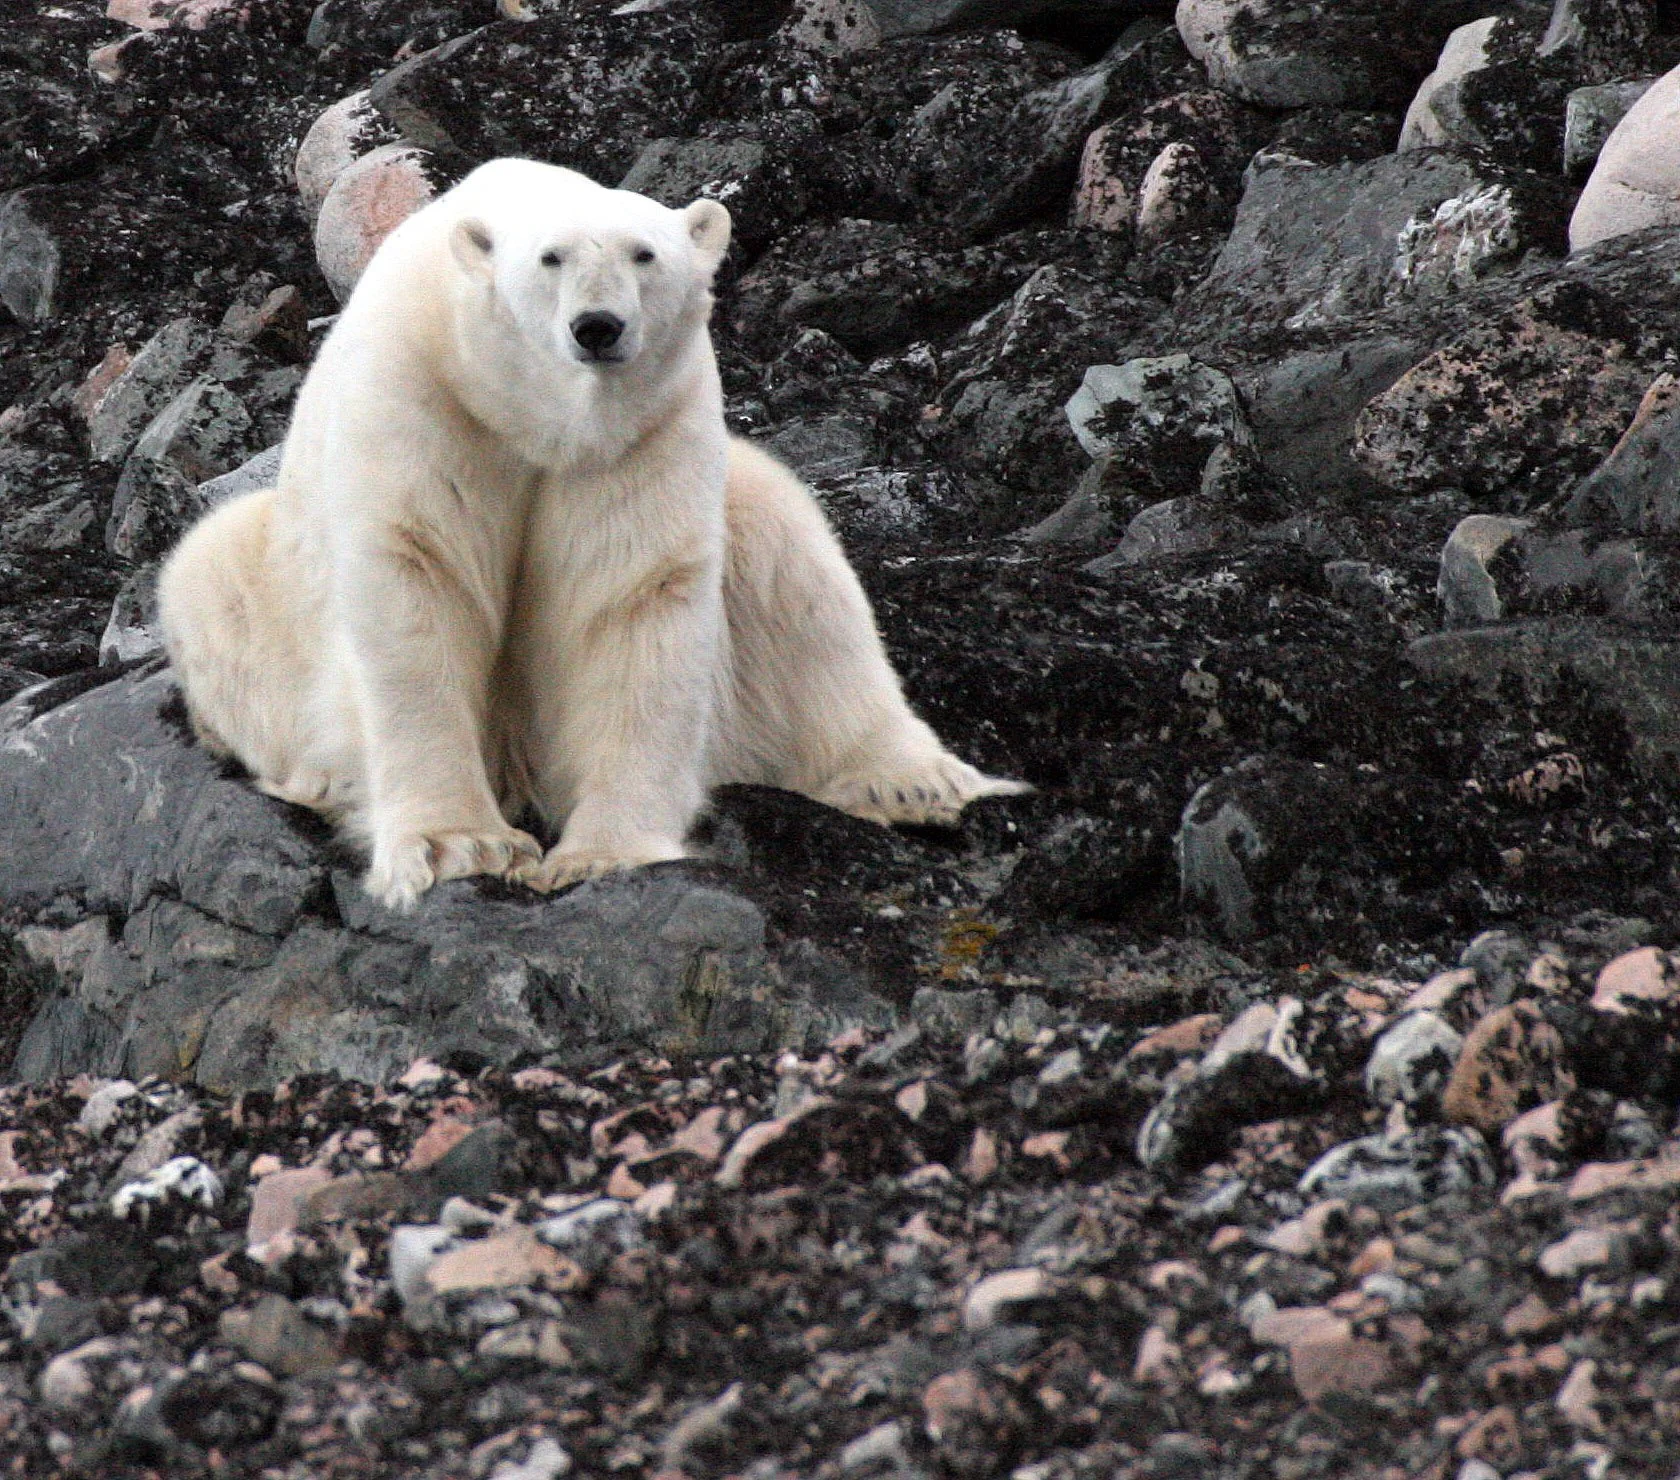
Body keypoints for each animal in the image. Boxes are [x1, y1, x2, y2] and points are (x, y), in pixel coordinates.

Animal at [157, 158, 1027, 911]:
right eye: (551, 259)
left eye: (646, 254)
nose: (599, 327)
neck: (531, 410)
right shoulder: (426, 393)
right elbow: (418, 575)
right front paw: (456, 845)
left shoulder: (643, 428)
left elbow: (633, 597)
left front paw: (602, 853)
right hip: (257, 597)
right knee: (210, 576)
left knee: (794, 564)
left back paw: (913, 781)